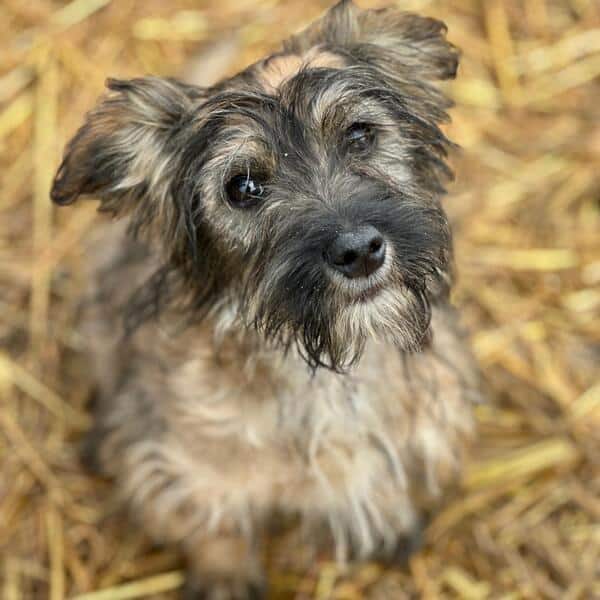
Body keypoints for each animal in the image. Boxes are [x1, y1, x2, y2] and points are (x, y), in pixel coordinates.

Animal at [51, 1, 481, 597]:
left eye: (360, 135)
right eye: (243, 187)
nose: (360, 252)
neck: (323, 366)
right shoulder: (184, 466)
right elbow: (217, 521)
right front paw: (225, 576)